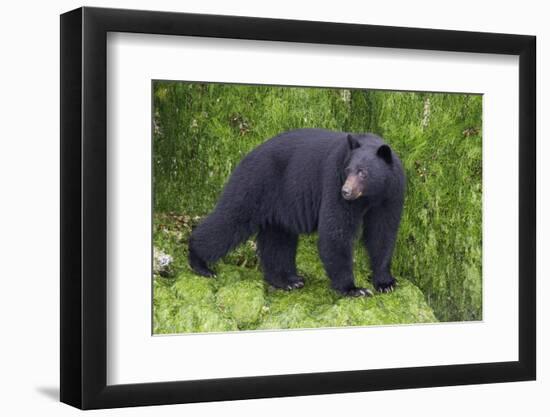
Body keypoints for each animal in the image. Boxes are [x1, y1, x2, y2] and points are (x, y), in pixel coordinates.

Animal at [190, 128, 406, 294]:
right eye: (348, 170)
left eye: (362, 172)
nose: (346, 191)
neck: (371, 195)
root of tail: (248, 154)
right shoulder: (333, 180)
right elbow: (336, 231)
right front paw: (353, 289)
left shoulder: (391, 194)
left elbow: (383, 232)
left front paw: (385, 282)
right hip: (254, 184)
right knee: (230, 220)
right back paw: (199, 262)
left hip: (278, 204)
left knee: (278, 240)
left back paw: (287, 281)